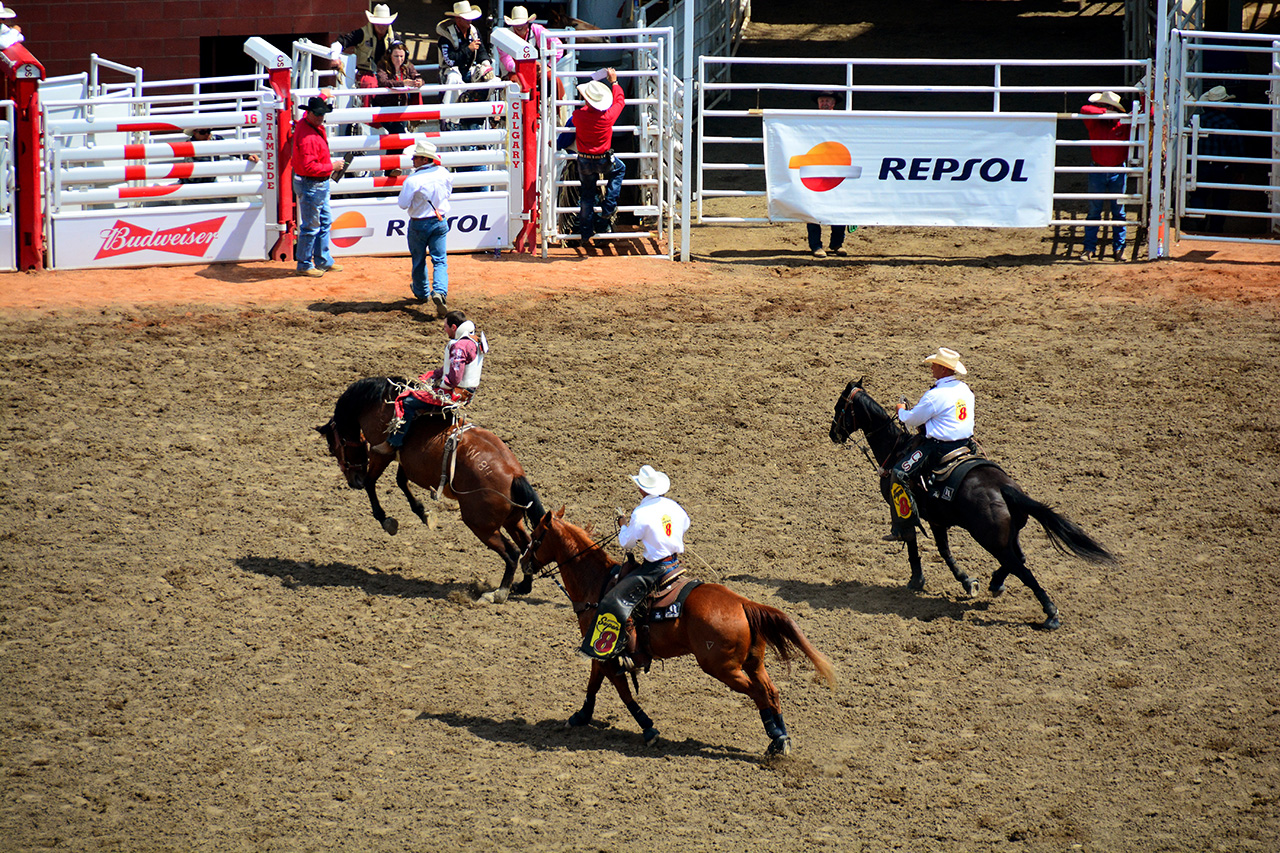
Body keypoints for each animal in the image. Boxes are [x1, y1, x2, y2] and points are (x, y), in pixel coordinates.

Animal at [320, 376, 545, 601]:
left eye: (332, 448)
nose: (353, 482)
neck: (379, 403)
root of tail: (514, 475)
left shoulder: (381, 453)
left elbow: (371, 482)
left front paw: (387, 521)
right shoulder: (407, 461)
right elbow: (401, 481)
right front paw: (424, 513)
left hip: (482, 526)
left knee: (513, 553)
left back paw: (498, 593)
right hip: (512, 521)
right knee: (529, 547)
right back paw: (523, 586)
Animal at [522, 504, 839, 753]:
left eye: (535, 538)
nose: (524, 563)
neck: (597, 582)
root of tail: (742, 603)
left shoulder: (605, 649)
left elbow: (621, 690)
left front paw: (648, 728)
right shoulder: (602, 654)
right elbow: (594, 683)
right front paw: (581, 716)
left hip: (722, 667)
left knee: (759, 694)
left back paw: (775, 742)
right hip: (753, 662)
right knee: (771, 692)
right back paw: (782, 738)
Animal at [829, 376, 1111, 625]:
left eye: (839, 406)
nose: (833, 434)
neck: (895, 448)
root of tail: (1005, 488)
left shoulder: (909, 512)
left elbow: (913, 542)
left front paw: (918, 580)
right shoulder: (937, 520)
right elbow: (943, 550)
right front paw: (967, 582)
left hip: (990, 539)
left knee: (1020, 567)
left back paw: (1050, 613)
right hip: (1007, 536)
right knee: (1018, 559)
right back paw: (996, 584)